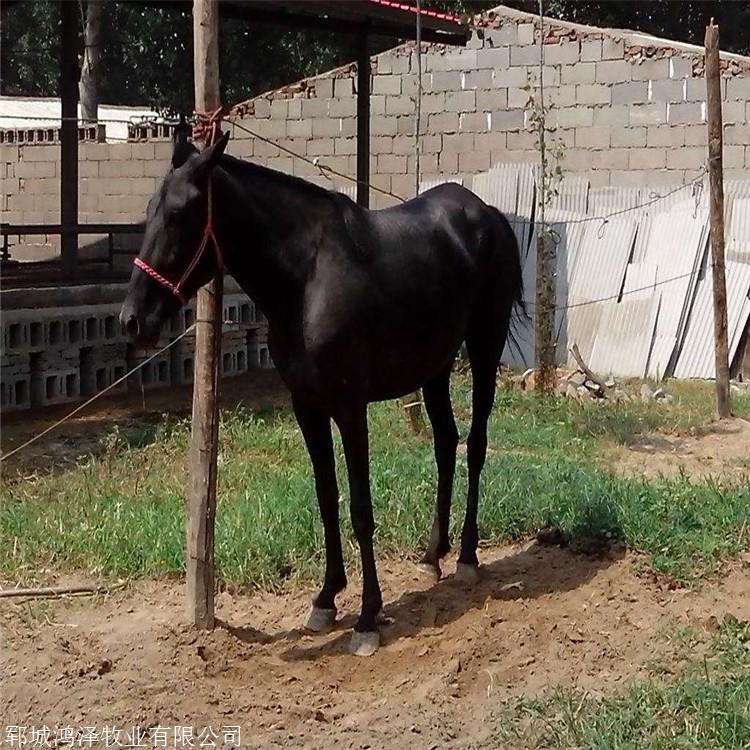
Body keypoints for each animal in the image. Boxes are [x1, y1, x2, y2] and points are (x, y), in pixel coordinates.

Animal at [122, 132, 524, 656]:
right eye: (150, 210)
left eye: (179, 214)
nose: (133, 321)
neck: (306, 279)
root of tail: (488, 214)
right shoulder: (307, 407)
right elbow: (327, 496)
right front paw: (327, 598)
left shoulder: (350, 408)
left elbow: (360, 508)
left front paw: (368, 618)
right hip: (434, 367)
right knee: (445, 444)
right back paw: (432, 553)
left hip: (484, 346)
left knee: (474, 445)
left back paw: (468, 556)